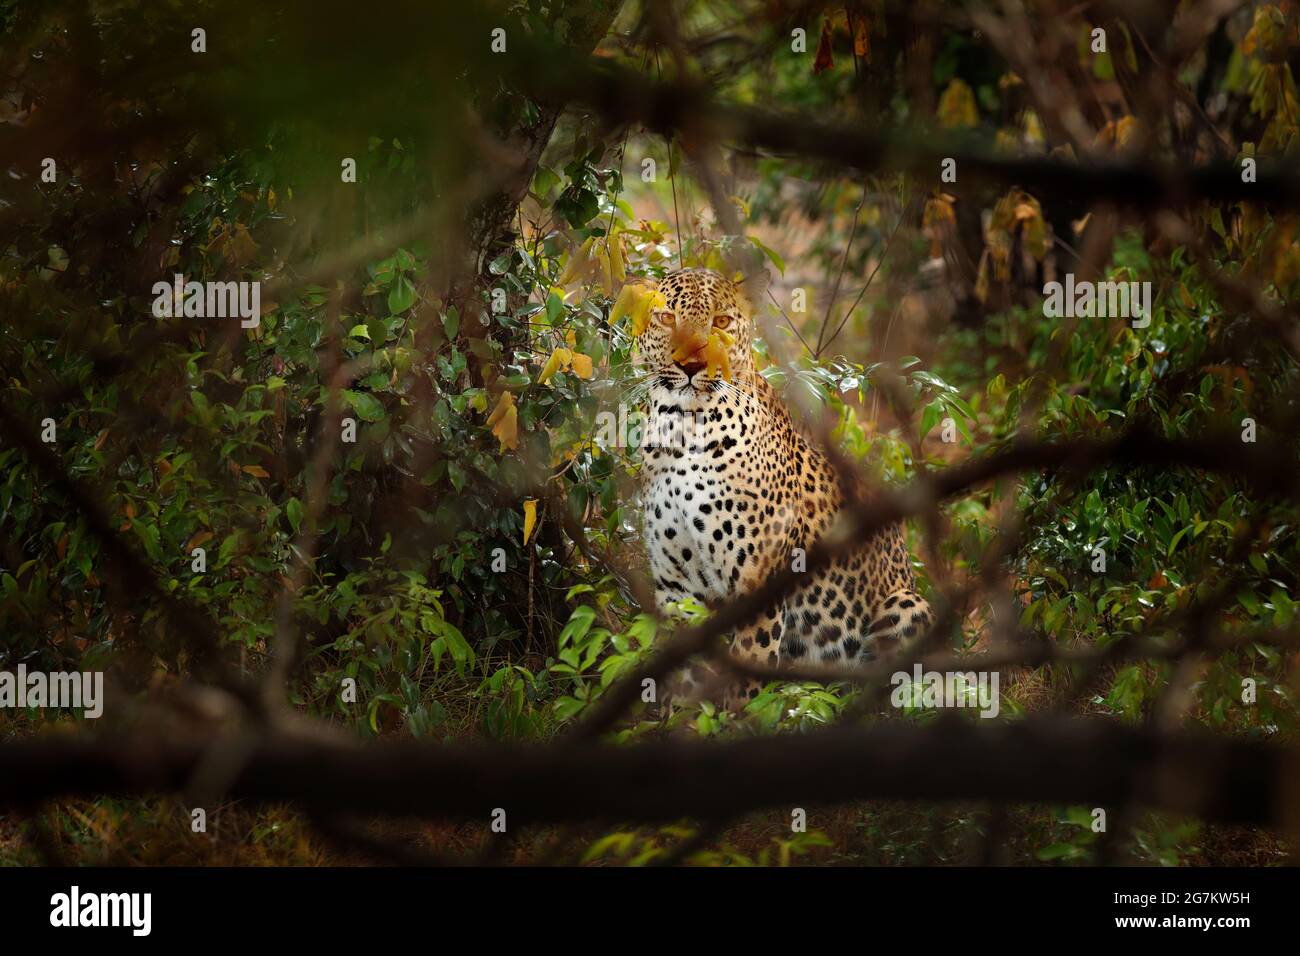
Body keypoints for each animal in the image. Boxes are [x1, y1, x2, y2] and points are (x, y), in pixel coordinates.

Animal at [631, 267, 930, 712]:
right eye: (667, 319)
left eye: (721, 322)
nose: (690, 366)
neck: (683, 428)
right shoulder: (676, 588)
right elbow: (684, 679)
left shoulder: (758, 580)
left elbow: (747, 671)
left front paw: (736, 719)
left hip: (909, 606)